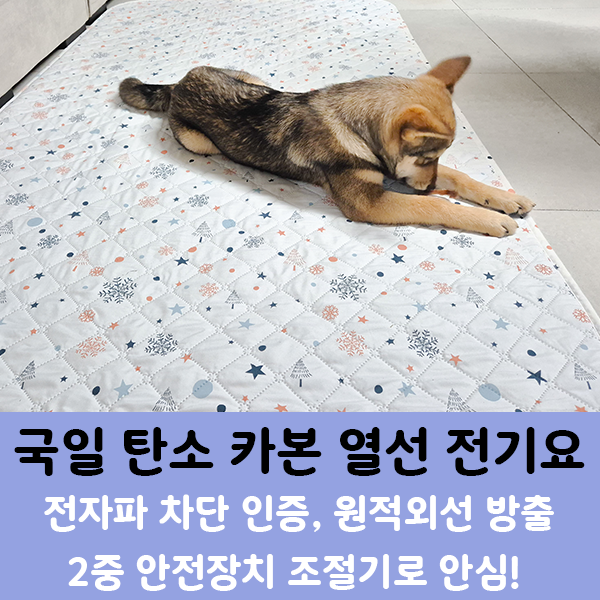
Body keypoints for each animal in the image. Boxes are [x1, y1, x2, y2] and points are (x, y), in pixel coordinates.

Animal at [119, 57, 534, 237]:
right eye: (426, 157)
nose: (430, 185)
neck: (356, 129)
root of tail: (178, 84)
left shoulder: (394, 174)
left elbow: (461, 177)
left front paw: (505, 199)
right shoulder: (369, 202)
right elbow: (433, 206)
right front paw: (490, 220)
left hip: (255, 79)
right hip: (200, 142)